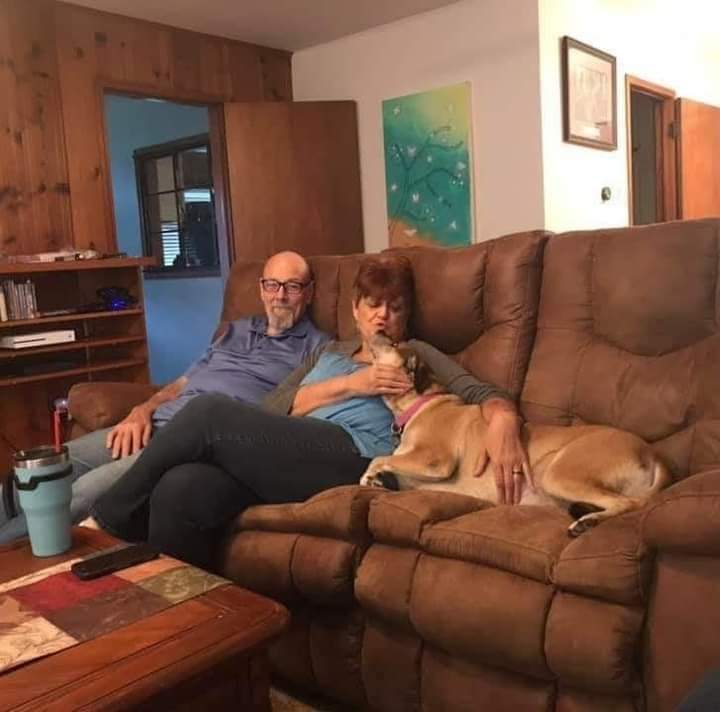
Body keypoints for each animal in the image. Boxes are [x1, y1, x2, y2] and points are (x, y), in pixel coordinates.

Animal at [360, 334, 671, 536]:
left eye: (394, 344)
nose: (378, 331)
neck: (420, 402)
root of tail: (651, 454)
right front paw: (377, 481)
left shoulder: (435, 461)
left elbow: (379, 458)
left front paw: (368, 477)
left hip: (559, 472)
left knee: (626, 503)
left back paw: (587, 522)